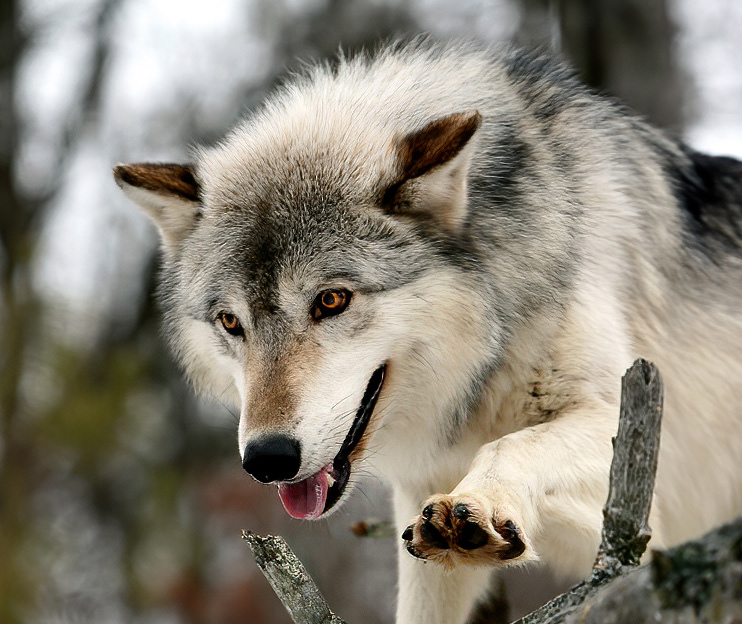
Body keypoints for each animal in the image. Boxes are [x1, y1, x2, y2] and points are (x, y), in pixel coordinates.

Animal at [114, 40, 742, 624]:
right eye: (231, 322)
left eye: (331, 300)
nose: (266, 458)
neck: (478, 375)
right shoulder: (424, 508)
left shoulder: (627, 426)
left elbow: (513, 444)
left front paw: (481, 503)